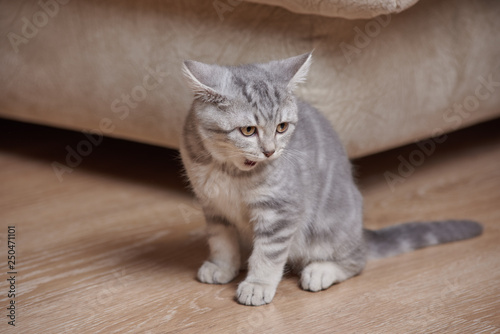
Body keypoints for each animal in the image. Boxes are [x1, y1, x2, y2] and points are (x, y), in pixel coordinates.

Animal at [178, 52, 482, 306]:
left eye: (282, 127)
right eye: (248, 130)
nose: (270, 151)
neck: (228, 170)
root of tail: (360, 230)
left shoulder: (281, 211)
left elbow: (268, 253)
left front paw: (258, 284)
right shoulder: (213, 207)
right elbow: (221, 241)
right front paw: (222, 265)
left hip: (327, 227)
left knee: (357, 259)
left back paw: (321, 270)